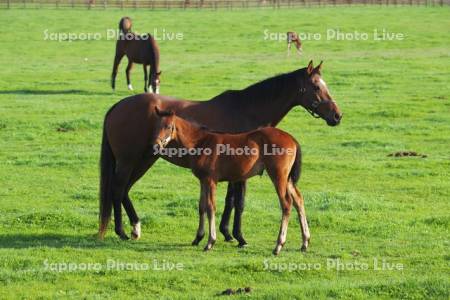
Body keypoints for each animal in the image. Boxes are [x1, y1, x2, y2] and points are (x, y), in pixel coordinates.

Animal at [154, 106, 310, 254]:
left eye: (168, 126)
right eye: (157, 125)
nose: (156, 145)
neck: (200, 142)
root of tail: (292, 139)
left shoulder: (211, 180)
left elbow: (211, 207)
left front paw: (210, 242)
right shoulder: (203, 180)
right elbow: (202, 206)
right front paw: (197, 238)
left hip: (278, 176)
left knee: (287, 203)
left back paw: (278, 245)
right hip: (288, 179)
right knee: (298, 200)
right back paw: (304, 242)